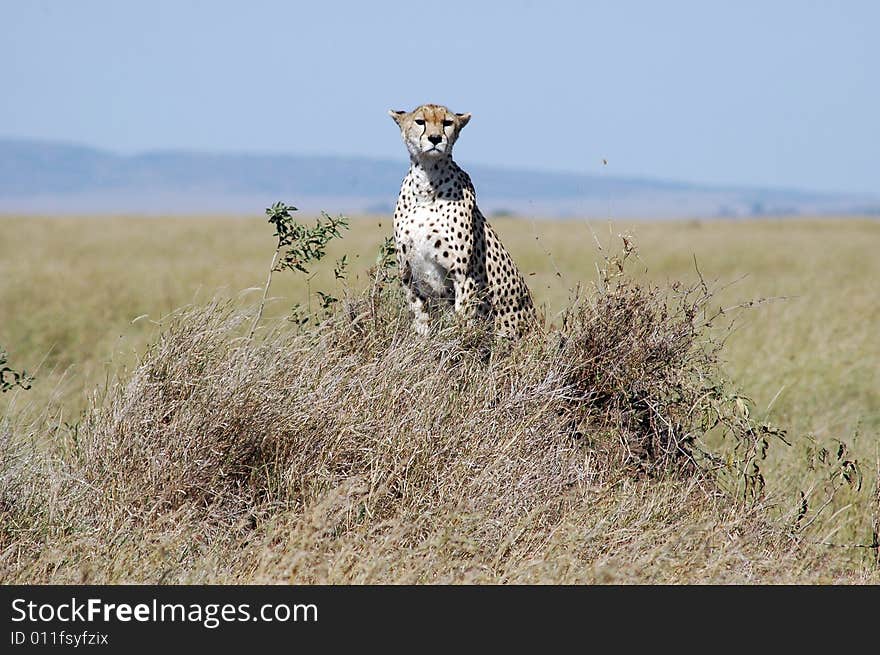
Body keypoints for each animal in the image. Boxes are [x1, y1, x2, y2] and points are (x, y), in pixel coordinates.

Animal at [390, 105, 536, 338]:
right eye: (420, 121)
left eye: (447, 123)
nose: (435, 138)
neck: (426, 185)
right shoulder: (408, 275)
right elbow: (420, 320)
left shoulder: (463, 276)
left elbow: (462, 323)